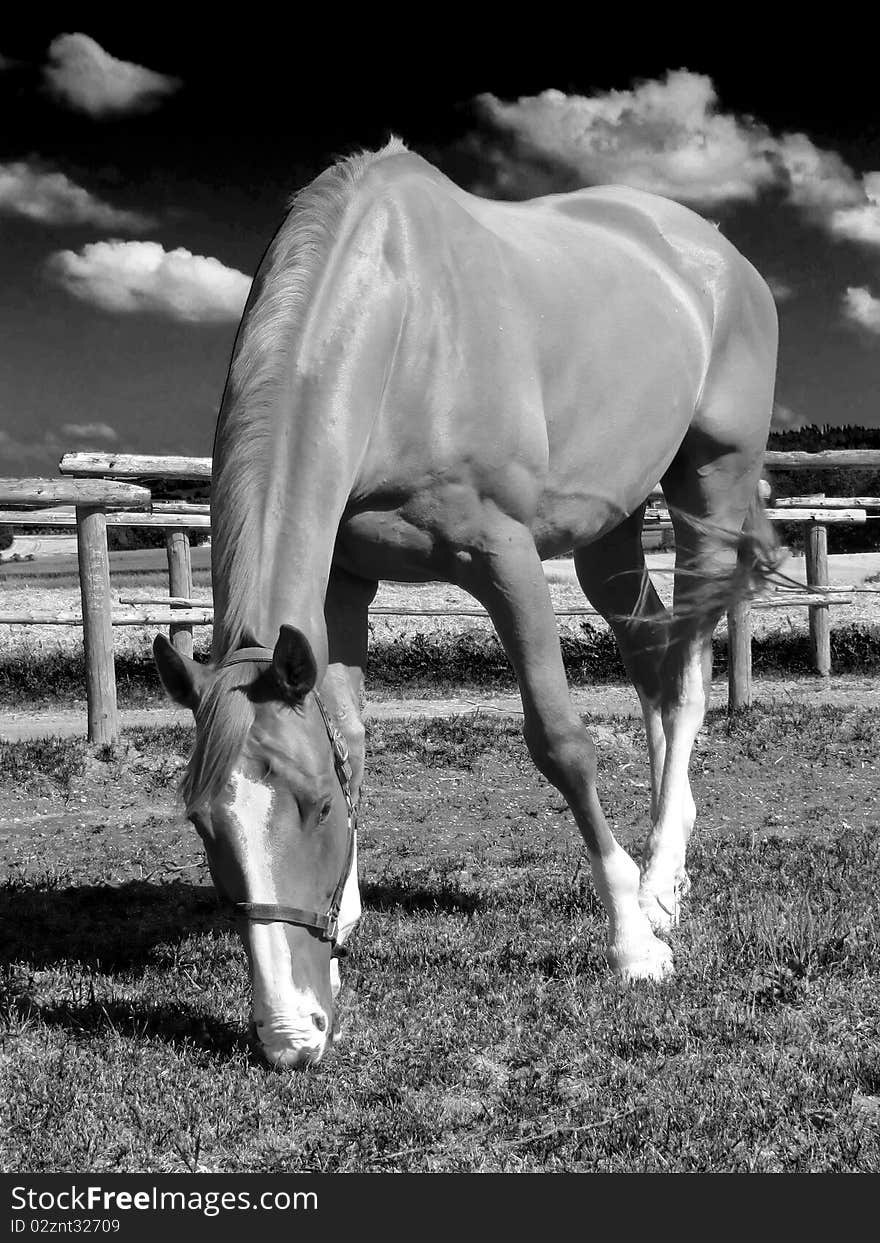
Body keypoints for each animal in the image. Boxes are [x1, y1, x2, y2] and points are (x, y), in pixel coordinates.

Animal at [154, 136, 780, 1068]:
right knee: (650, 656)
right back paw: (666, 862)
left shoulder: (506, 559)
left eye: (310, 806)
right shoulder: (343, 583)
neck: (403, 315)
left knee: (687, 672)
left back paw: (661, 879)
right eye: (202, 823)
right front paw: (346, 917)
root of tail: (719, 255)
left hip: (713, 481)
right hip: (609, 526)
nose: (290, 1038)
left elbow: (562, 744)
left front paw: (633, 944)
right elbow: (350, 737)